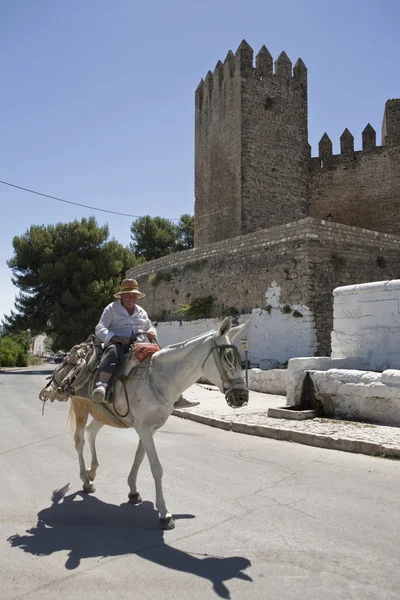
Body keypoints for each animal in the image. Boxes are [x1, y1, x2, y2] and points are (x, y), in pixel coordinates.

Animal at [67, 316, 248, 528]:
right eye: (227, 357)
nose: (242, 397)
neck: (156, 378)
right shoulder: (143, 427)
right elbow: (156, 468)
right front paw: (164, 513)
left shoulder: (149, 428)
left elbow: (139, 457)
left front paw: (133, 491)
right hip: (81, 406)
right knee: (79, 440)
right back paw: (86, 480)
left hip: (104, 413)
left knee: (91, 432)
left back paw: (92, 471)